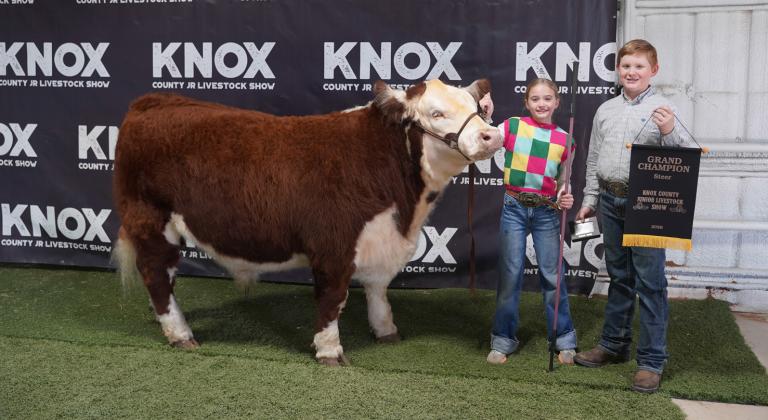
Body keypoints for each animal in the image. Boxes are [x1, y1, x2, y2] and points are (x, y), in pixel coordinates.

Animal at [113, 79, 503, 365]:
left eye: (476, 110)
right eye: (436, 113)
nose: (492, 135)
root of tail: (153, 100)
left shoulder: (380, 240)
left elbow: (378, 289)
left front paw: (386, 331)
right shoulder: (334, 245)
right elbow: (333, 299)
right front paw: (330, 351)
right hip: (150, 219)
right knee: (157, 276)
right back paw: (180, 334)